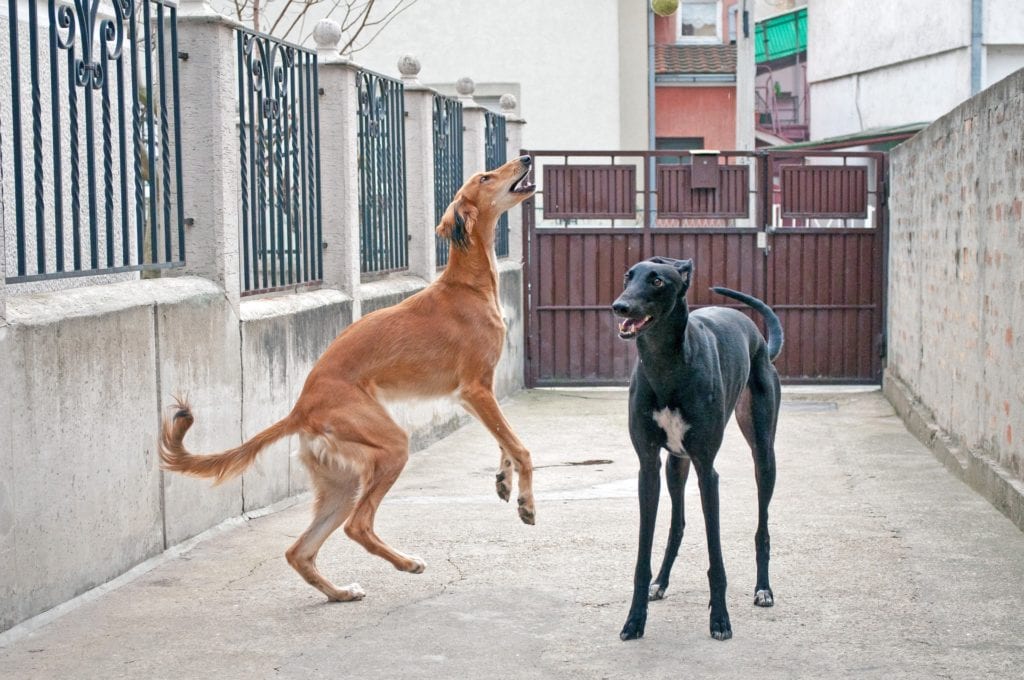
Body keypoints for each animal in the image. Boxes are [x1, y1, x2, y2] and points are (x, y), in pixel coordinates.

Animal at [159, 153, 536, 602]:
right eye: (485, 177)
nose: (527, 157)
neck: (467, 285)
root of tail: (301, 407)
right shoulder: (476, 388)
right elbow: (520, 446)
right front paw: (527, 502)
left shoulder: (479, 392)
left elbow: (505, 442)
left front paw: (504, 481)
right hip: (389, 446)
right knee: (358, 525)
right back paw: (406, 563)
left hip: (339, 482)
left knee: (299, 551)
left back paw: (339, 592)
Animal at [606, 256, 782, 643]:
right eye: (628, 276)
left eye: (657, 280)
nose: (619, 306)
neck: (667, 366)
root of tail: (759, 338)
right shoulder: (648, 467)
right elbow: (643, 556)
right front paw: (635, 619)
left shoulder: (706, 468)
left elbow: (716, 556)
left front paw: (720, 619)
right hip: (676, 465)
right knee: (678, 524)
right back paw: (661, 582)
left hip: (763, 454)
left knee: (762, 526)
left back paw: (764, 588)